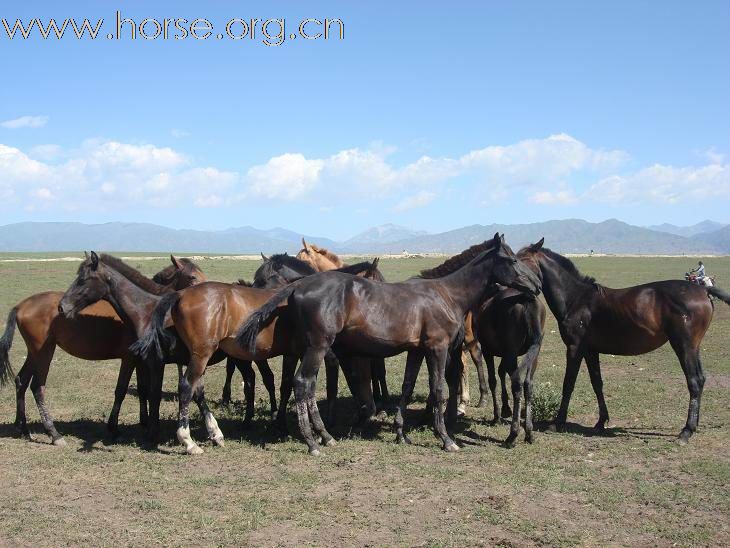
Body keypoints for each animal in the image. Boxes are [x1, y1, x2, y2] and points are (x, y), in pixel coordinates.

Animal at [0, 255, 205, 448]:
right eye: (192, 277)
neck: (145, 308)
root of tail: (21, 305)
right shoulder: (130, 358)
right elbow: (122, 390)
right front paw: (115, 429)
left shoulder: (141, 360)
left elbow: (142, 389)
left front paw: (144, 421)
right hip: (44, 353)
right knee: (37, 387)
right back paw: (54, 434)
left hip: (34, 353)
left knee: (21, 381)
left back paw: (23, 428)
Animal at [239, 233, 540, 456]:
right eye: (512, 259)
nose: (536, 285)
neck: (446, 294)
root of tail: (298, 285)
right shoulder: (438, 348)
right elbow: (439, 390)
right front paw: (446, 439)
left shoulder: (417, 350)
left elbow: (407, 386)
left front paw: (400, 433)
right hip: (317, 347)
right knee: (303, 384)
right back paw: (313, 442)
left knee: (306, 386)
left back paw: (325, 435)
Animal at [516, 242, 728, 444]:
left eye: (521, 259)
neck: (576, 299)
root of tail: (703, 289)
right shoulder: (590, 351)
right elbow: (597, 383)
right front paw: (601, 422)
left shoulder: (575, 348)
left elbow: (568, 383)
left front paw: (558, 422)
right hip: (694, 347)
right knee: (701, 379)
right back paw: (694, 426)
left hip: (684, 346)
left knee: (694, 381)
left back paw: (686, 431)